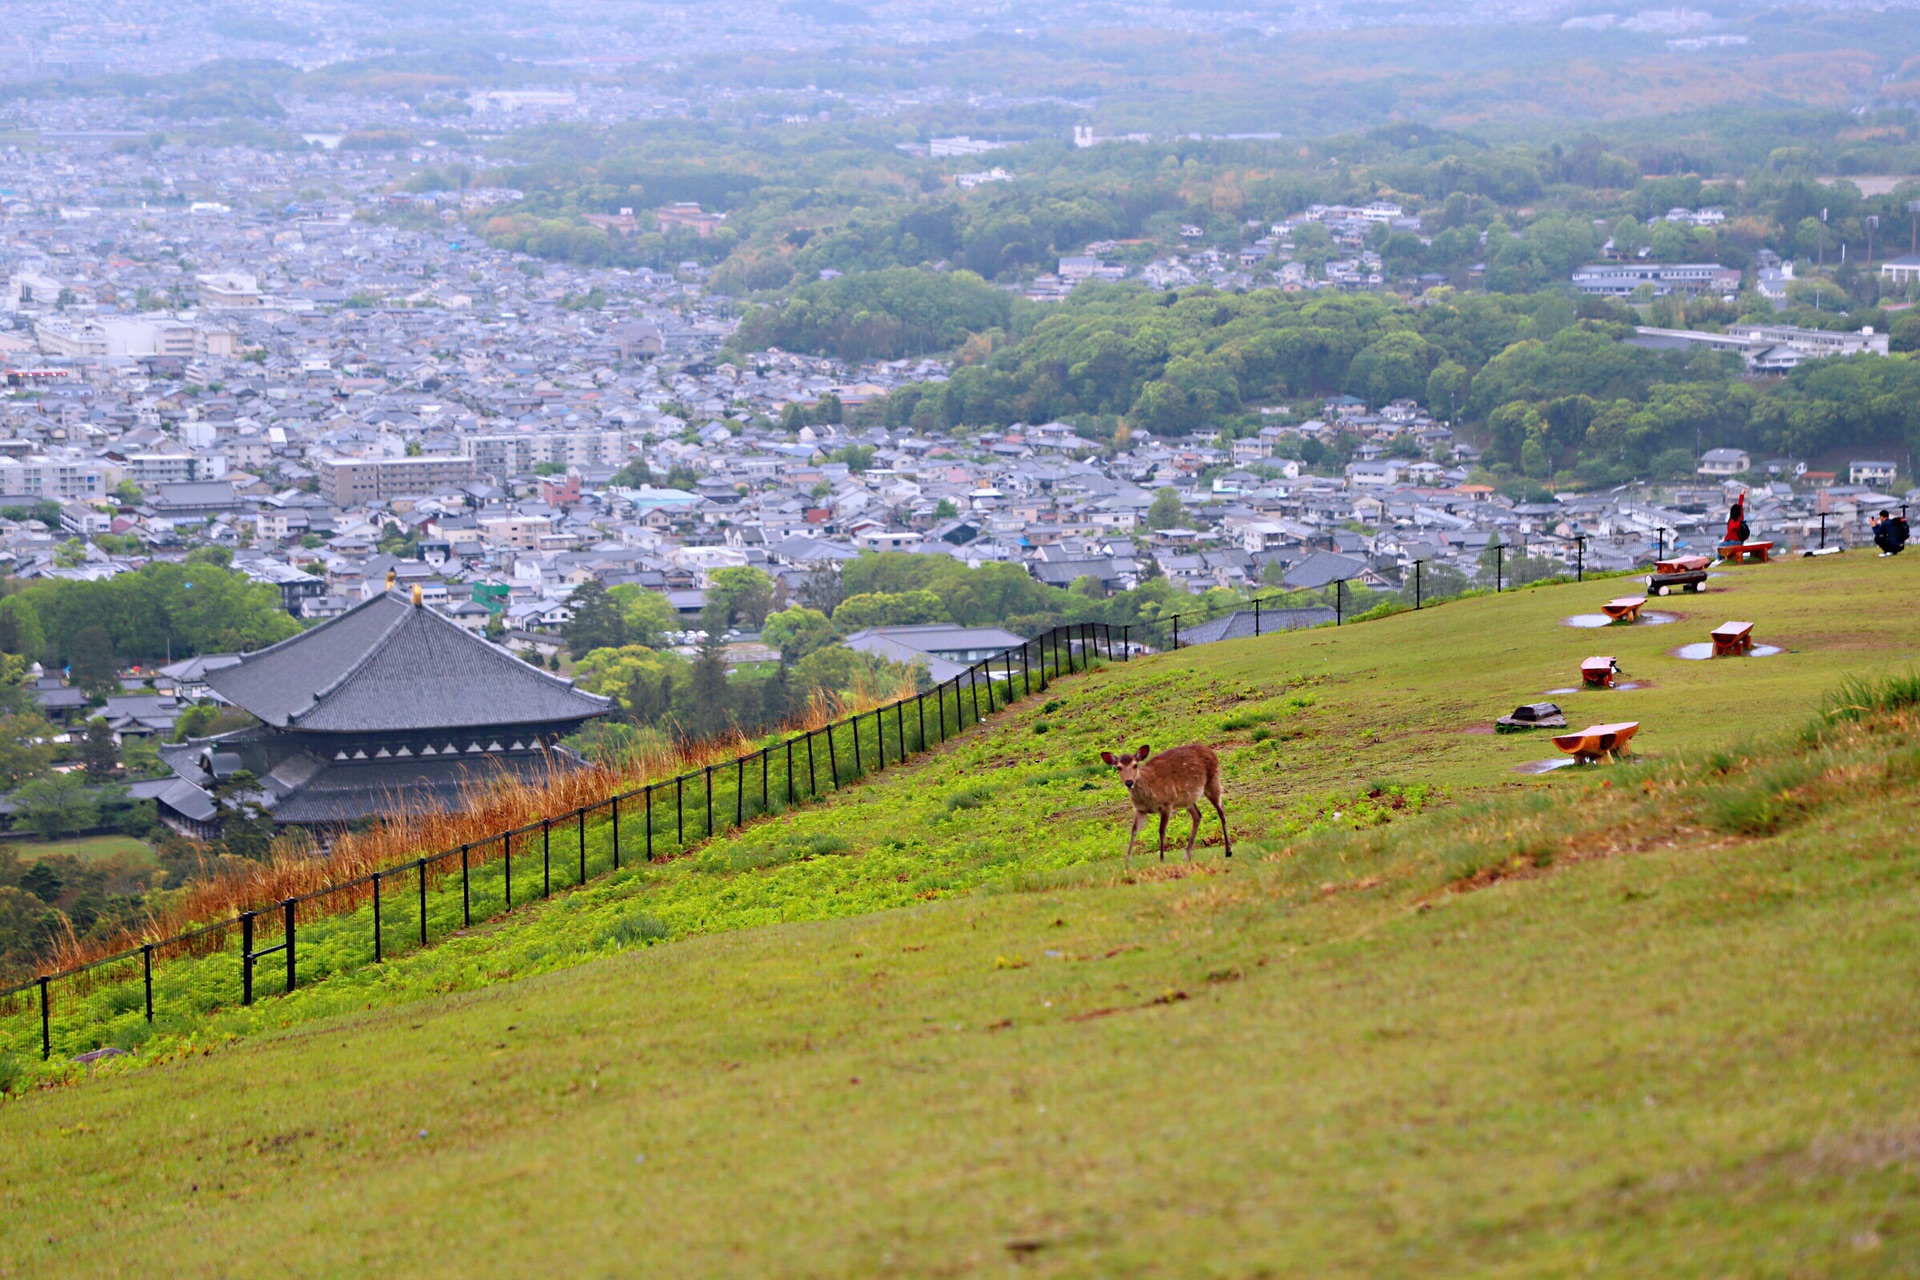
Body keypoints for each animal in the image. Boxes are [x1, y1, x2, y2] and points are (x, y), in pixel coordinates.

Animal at [1098, 740, 1228, 871]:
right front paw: (1127, 862)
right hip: (1187, 799)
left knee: (1221, 811)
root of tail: (1212, 752)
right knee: (1198, 815)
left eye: (1135, 765)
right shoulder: (1139, 809)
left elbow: (1161, 830)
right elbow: (1133, 830)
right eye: (1118, 767)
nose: (1129, 782)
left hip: (1213, 779)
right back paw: (1186, 856)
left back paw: (1228, 850)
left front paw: (1161, 859)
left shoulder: (1167, 803)